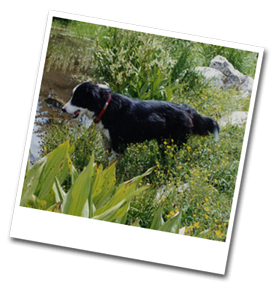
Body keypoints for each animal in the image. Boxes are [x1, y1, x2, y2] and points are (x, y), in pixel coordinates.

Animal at [62, 82, 220, 160]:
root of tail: (187, 109)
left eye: (77, 99)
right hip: (163, 142)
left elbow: (112, 162)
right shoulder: (107, 139)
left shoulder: (119, 143)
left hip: (173, 143)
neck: (106, 107)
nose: (63, 109)